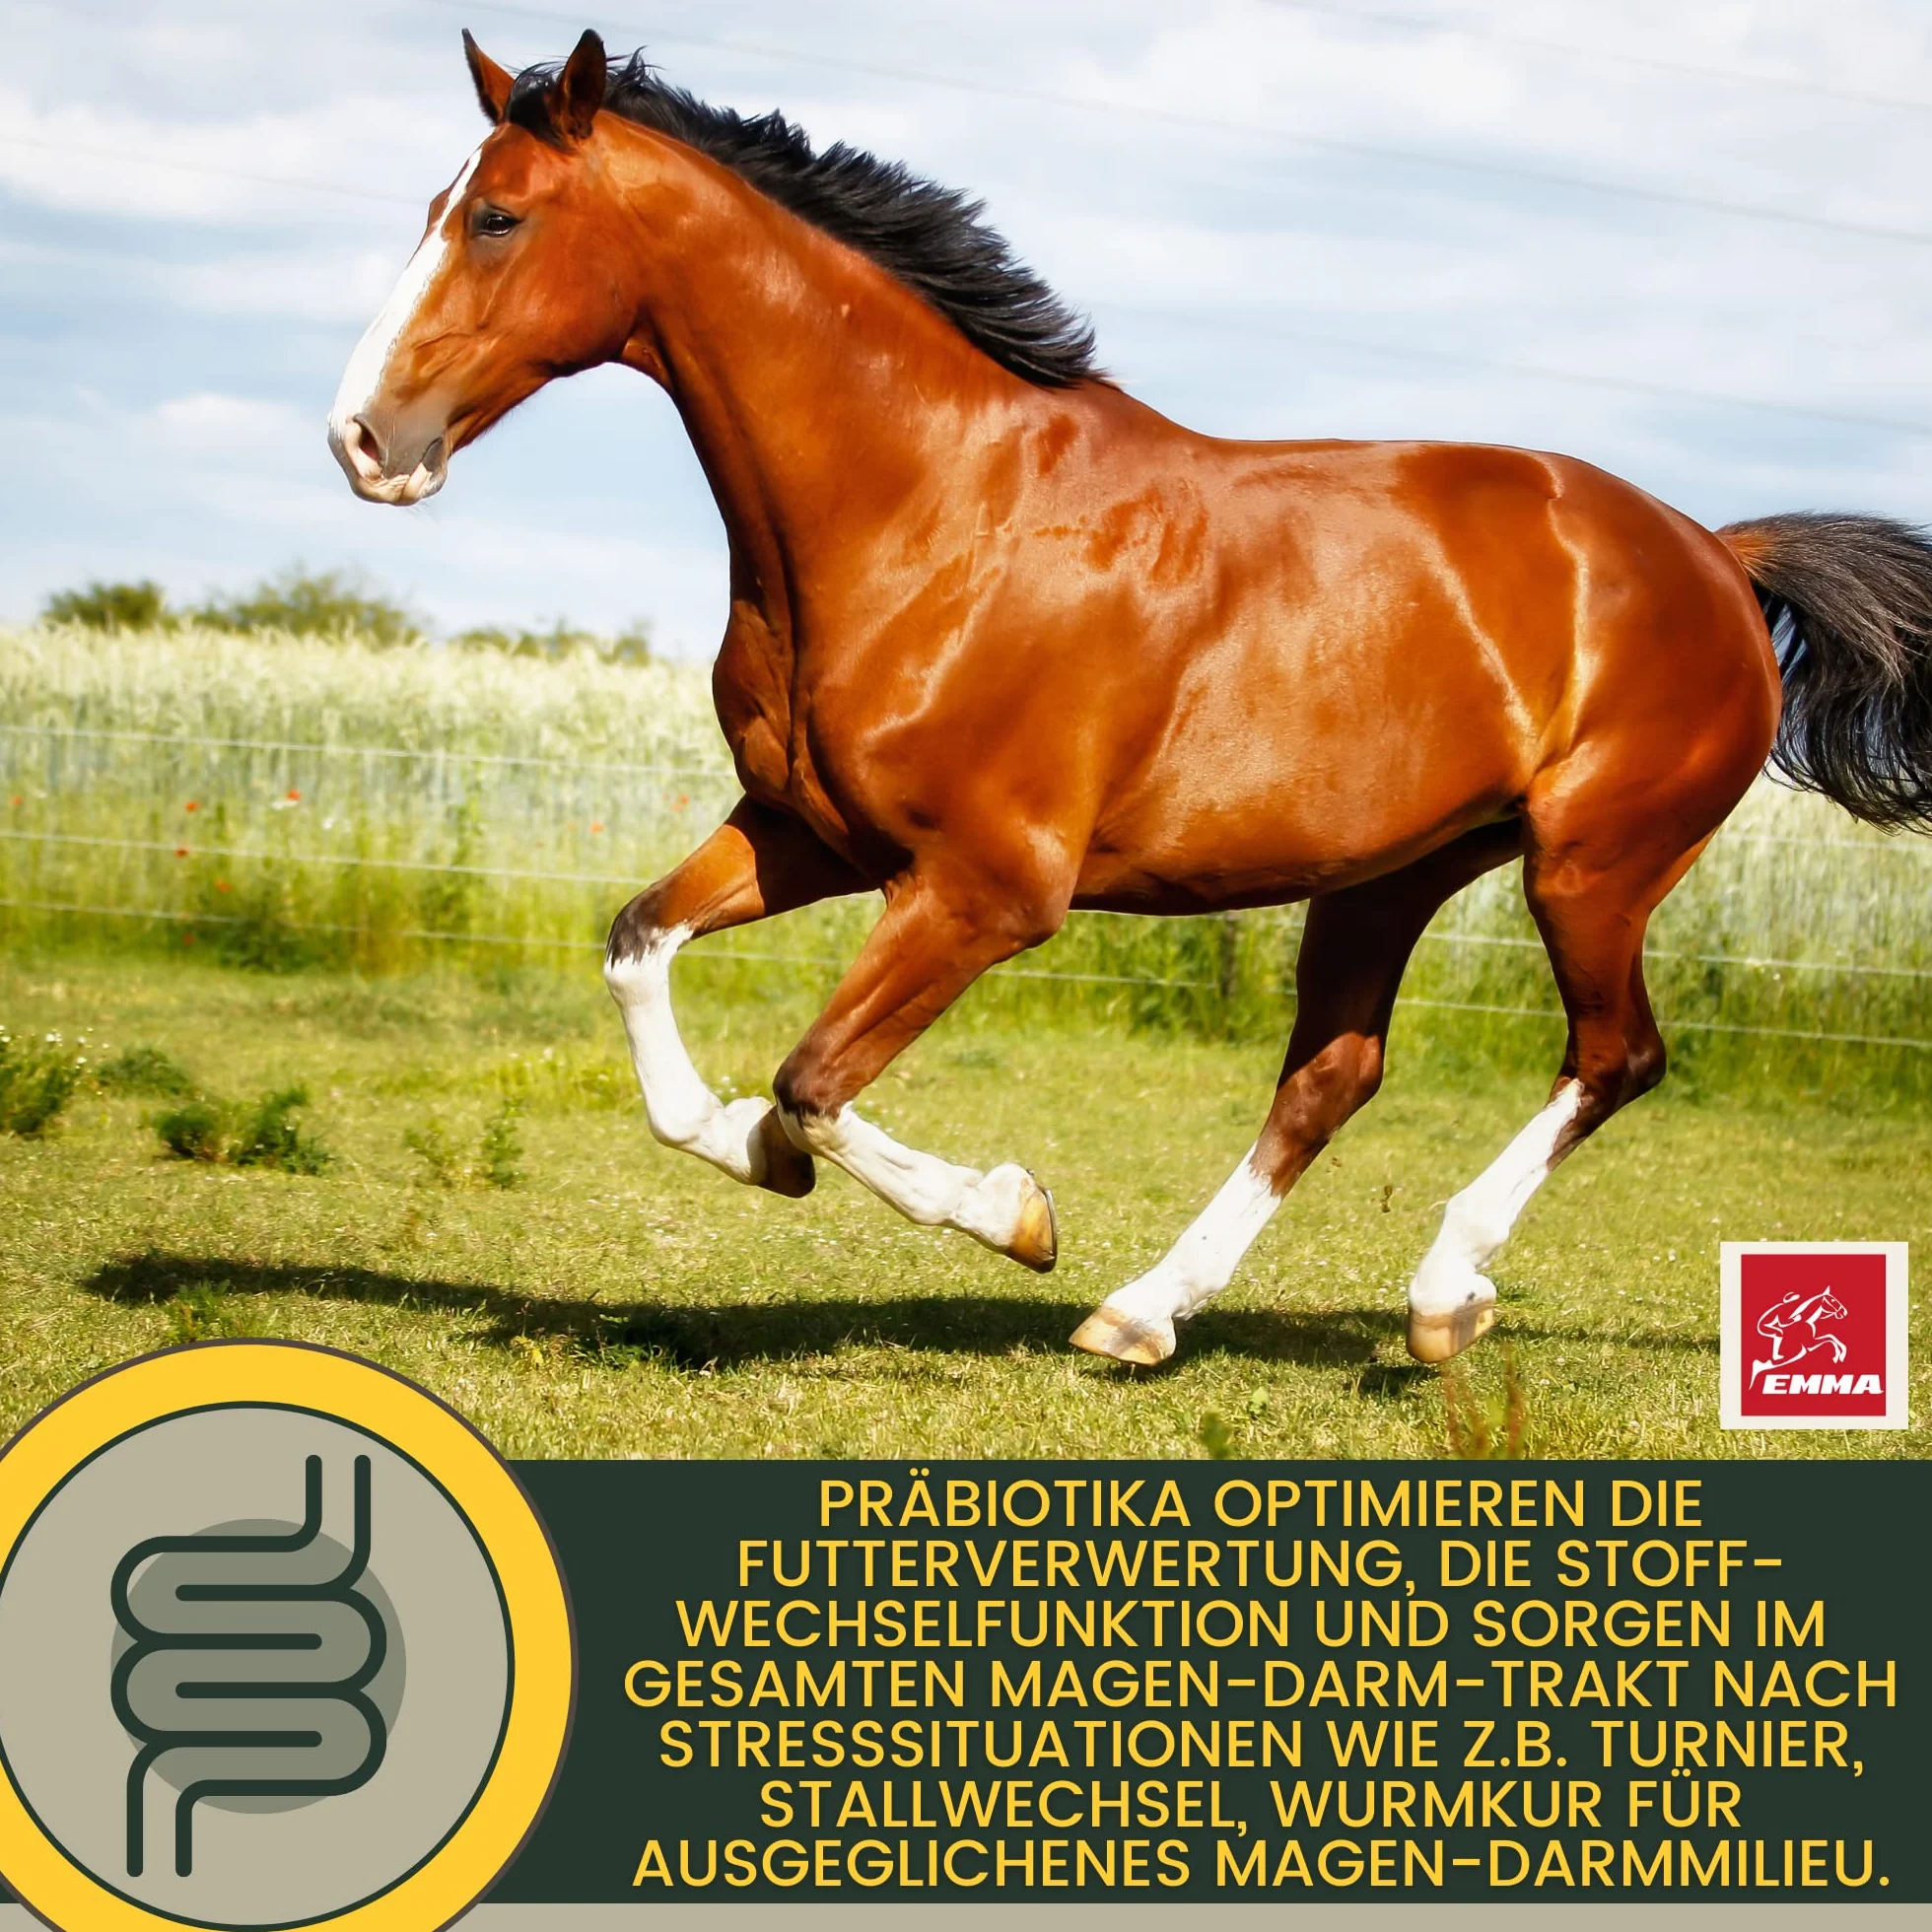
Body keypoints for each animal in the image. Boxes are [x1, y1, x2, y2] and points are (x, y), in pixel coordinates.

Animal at [329, 30, 1932, 1368]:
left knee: (1614, 1057)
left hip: (1591, 865)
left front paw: (1013, 1211)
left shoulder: (985, 891)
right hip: (1389, 874)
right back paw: (1143, 1314)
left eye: (497, 217)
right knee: (1330, 1078)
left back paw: (1437, 1301)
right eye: (435, 202)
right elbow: (641, 957)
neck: (933, 509)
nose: (361, 438)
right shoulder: (808, 836)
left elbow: (812, 1081)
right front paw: (749, 1149)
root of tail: (1716, 554)